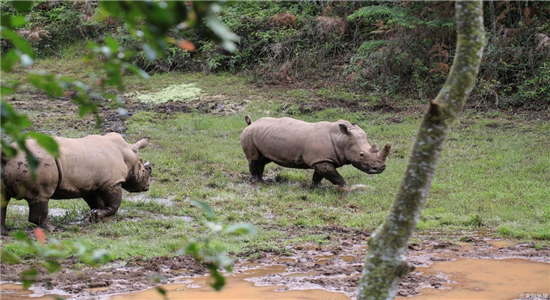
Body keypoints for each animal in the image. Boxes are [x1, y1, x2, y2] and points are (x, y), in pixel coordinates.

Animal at [1, 133, 152, 234]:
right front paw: (97, 216)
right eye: (145, 169)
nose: (147, 186)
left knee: (3, 199)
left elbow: (97, 203)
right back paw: (53, 229)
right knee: (41, 197)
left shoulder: (91, 185)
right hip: (36, 164)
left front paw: (94, 217)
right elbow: (114, 205)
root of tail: (6, 155)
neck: (129, 154)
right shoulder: (112, 182)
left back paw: (4, 233)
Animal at [242, 116, 392, 186]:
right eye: (361, 154)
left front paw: (317, 187)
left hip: (261, 134)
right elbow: (334, 176)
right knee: (254, 158)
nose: (381, 168)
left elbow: (319, 175)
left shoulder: (322, 159)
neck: (342, 140)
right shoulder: (320, 160)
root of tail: (252, 123)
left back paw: (261, 179)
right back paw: (257, 182)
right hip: (249, 134)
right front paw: (345, 187)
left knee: (263, 159)